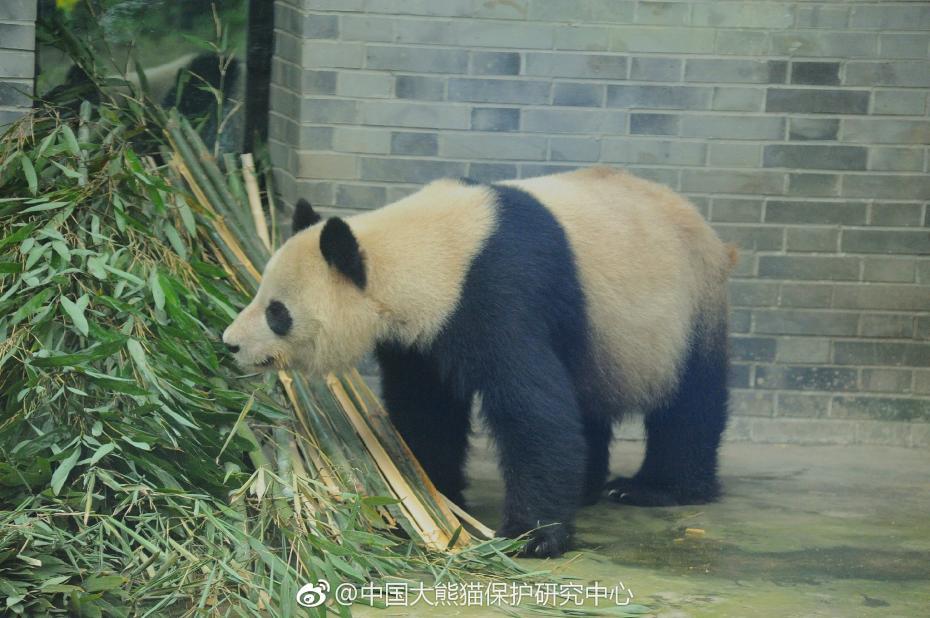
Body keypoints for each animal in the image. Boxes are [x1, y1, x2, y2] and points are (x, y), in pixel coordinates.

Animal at [223, 166, 732, 556]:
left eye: (277, 313)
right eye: (260, 295)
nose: (230, 343)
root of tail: (702, 223)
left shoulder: (498, 291)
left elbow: (533, 410)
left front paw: (531, 536)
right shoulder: (422, 336)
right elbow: (427, 409)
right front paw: (431, 491)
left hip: (686, 306)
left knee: (690, 404)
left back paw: (655, 488)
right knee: (586, 400)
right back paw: (588, 487)